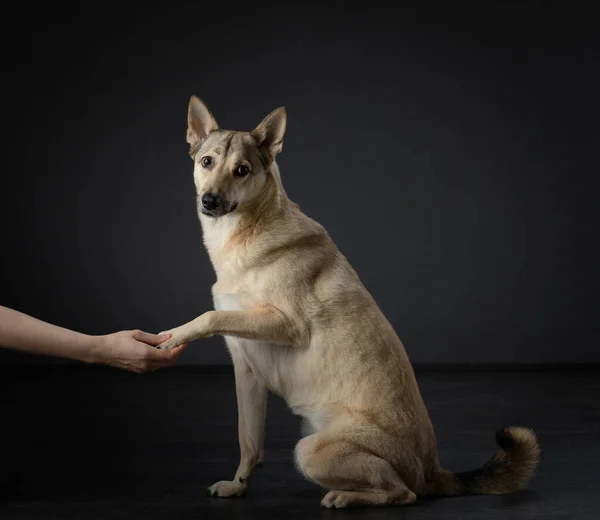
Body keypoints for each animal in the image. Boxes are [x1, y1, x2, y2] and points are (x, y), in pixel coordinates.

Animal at [157, 96, 540, 508]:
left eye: (242, 171)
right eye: (206, 162)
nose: (210, 201)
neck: (246, 231)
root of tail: (433, 471)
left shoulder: (286, 324)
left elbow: (209, 316)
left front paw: (173, 336)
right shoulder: (247, 373)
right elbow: (249, 441)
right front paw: (238, 485)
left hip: (310, 451)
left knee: (402, 493)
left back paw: (345, 497)